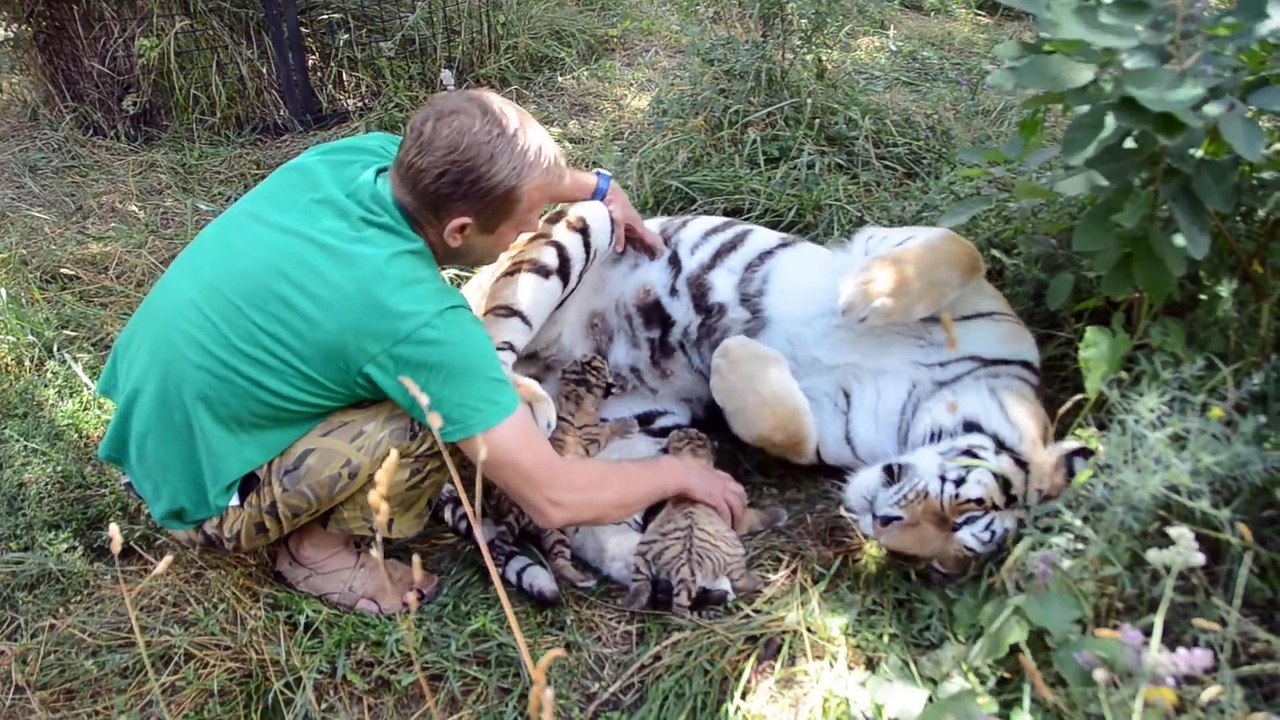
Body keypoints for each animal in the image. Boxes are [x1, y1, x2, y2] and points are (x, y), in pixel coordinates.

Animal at [430, 353, 638, 605]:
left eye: (585, 361)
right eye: (598, 363)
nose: (595, 354)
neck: (575, 393)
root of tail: (514, 511)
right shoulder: (594, 437)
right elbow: (607, 430)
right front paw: (627, 424)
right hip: (556, 529)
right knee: (558, 562)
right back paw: (582, 579)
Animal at [456, 198, 1096, 593]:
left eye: (944, 556)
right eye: (967, 509)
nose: (882, 526)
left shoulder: (831, 429)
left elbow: (785, 428)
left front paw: (733, 355)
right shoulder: (935, 267)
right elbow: (962, 247)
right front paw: (867, 295)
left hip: (644, 427)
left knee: (574, 508)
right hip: (581, 226)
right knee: (491, 342)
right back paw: (526, 399)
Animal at [625, 427, 788, 616]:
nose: (684, 428)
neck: (691, 456)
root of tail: (684, 573)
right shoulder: (742, 517)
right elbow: (760, 516)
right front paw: (780, 514)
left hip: (643, 554)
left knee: (640, 583)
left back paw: (632, 602)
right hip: (734, 556)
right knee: (739, 579)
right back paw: (759, 582)